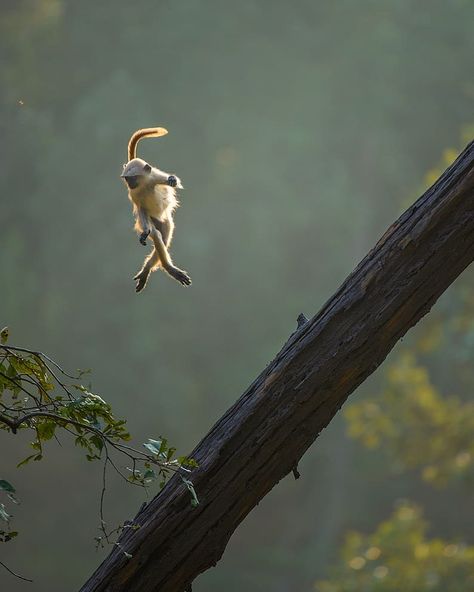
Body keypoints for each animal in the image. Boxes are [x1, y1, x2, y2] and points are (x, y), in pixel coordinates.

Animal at [121, 127, 192, 292]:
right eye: (127, 178)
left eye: (132, 177)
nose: (130, 183)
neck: (142, 186)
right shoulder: (134, 194)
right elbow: (141, 211)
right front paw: (145, 233)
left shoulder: (154, 177)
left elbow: (171, 181)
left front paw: (172, 180)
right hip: (152, 220)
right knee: (158, 236)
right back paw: (167, 268)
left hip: (166, 221)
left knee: (164, 239)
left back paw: (151, 269)